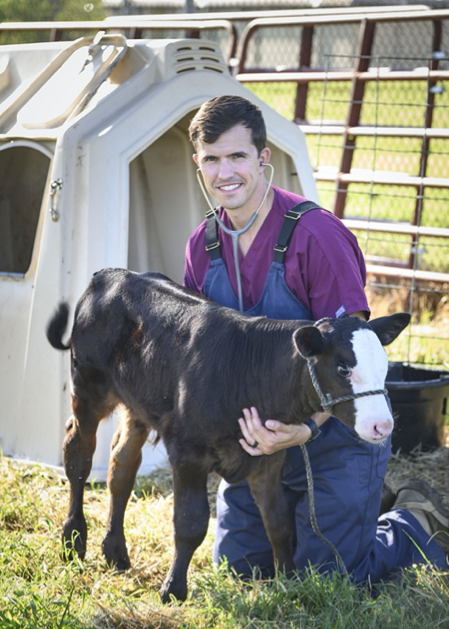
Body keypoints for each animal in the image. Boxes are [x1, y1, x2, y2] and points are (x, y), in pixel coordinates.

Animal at [46, 268, 410, 600]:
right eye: (343, 368)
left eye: (384, 367)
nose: (383, 425)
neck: (250, 371)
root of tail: (110, 274)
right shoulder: (187, 453)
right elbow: (191, 523)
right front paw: (173, 589)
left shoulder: (269, 457)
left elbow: (278, 522)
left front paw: (289, 579)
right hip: (87, 388)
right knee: (78, 456)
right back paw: (73, 540)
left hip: (138, 406)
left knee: (121, 466)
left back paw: (115, 551)